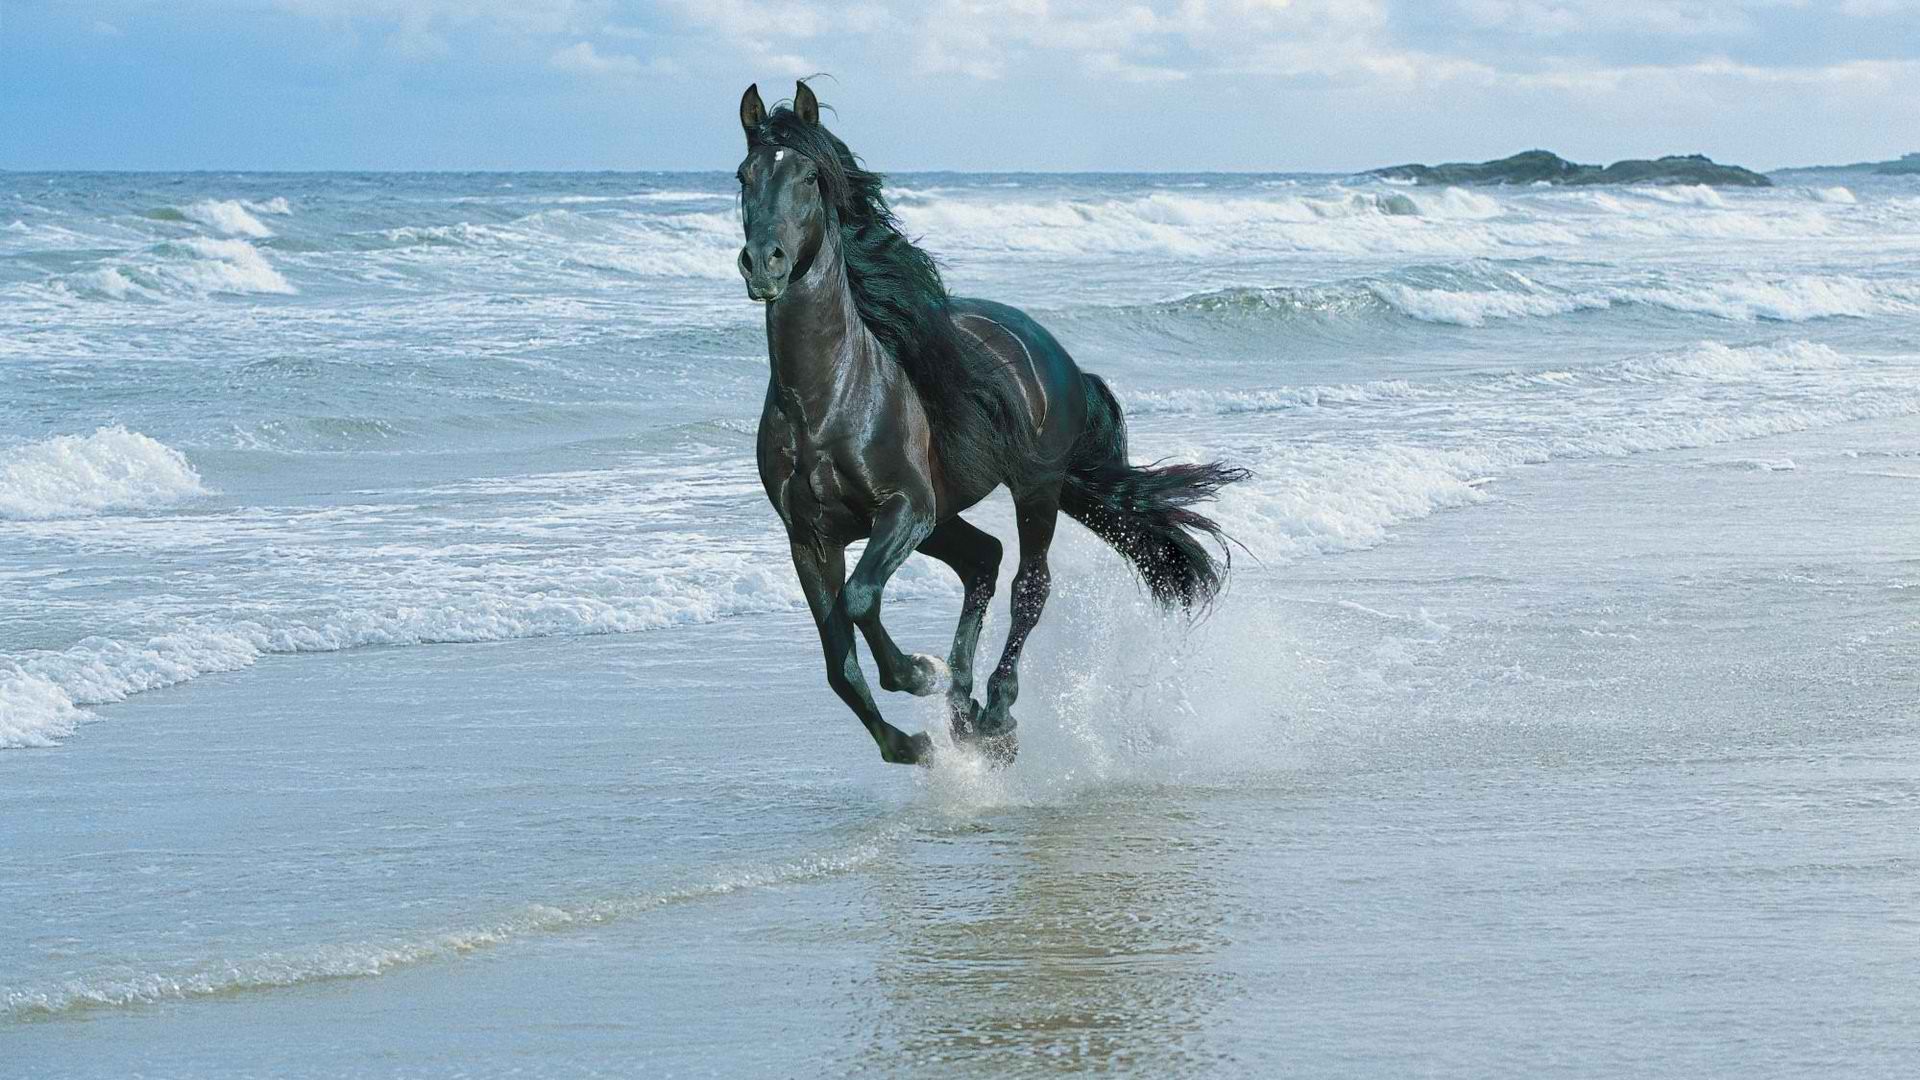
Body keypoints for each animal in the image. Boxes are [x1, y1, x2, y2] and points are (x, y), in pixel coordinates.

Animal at [735, 80, 1249, 766]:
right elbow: (838, 662)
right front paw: (912, 742)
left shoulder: (904, 508)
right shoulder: (810, 538)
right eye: (744, 176)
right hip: (946, 516)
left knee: (1029, 585)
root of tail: (1055, 354)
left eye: (811, 177)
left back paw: (995, 711)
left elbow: (862, 599)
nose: (763, 263)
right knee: (983, 559)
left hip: (1032, 491)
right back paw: (964, 709)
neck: (828, 399)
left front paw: (917, 673)